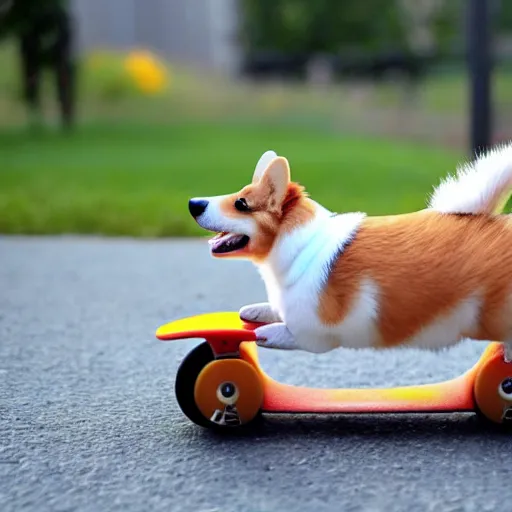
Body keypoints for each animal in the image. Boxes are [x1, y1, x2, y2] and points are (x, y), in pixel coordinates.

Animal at [190, 145, 512, 360]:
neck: (297, 247)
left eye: (241, 204)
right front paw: (256, 310)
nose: (194, 203)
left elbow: (275, 332)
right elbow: (268, 308)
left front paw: (263, 332)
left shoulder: (311, 336)